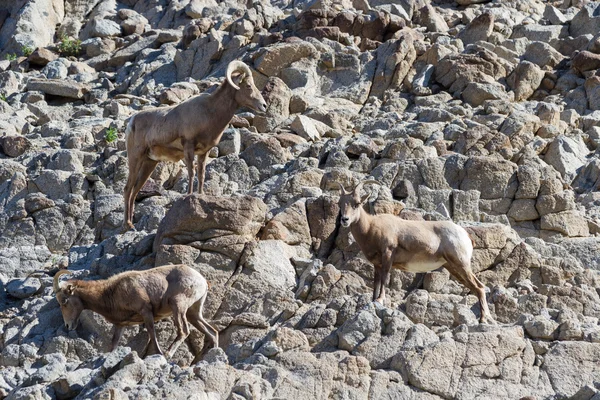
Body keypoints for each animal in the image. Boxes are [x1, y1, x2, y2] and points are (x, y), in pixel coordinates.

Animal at [53, 264, 218, 358]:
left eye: (64, 301)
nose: (68, 326)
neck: (110, 293)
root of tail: (202, 280)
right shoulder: (120, 325)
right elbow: (113, 344)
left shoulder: (146, 312)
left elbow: (152, 334)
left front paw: (159, 353)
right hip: (193, 314)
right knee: (212, 332)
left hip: (178, 306)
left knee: (184, 331)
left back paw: (168, 353)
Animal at [122, 60, 268, 230]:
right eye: (248, 86)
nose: (264, 106)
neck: (209, 112)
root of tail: (132, 122)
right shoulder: (188, 147)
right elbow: (191, 173)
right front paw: (189, 196)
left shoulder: (203, 152)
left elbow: (201, 175)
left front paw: (200, 196)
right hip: (136, 158)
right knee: (128, 189)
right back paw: (127, 225)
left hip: (149, 163)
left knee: (135, 191)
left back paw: (131, 224)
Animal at [336, 180, 494, 324]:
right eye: (340, 204)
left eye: (356, 203)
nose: (345, 219)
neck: (370, 228)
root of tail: (465, 235)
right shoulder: (377, 265)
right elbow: (376, 282)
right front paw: (374, 300)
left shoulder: (387, 256)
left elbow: (384, 279)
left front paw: (380, 300)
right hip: (454, 268)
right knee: (476, 287)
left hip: (462, 264)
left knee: (480, 287)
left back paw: (483, 320)